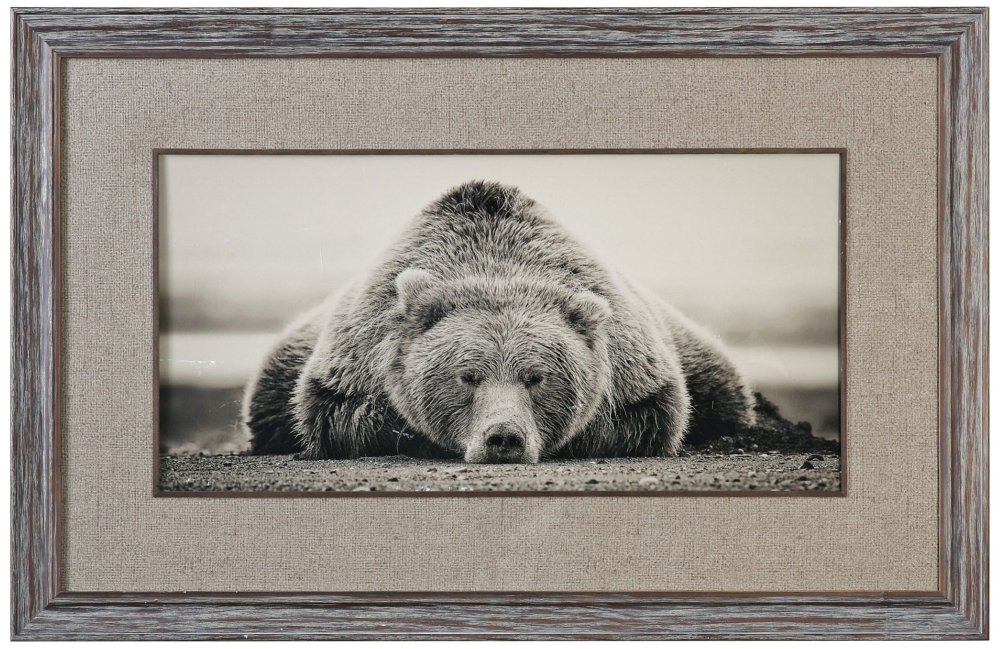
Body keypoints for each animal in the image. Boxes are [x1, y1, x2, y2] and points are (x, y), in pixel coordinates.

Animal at [242, 180, 756, 463]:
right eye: (467, 376)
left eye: (537, 377)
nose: (503, 438)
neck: (496, 263)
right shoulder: (353, 362)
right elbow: (341, 416)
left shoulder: (637, 371)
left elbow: (649, 417)